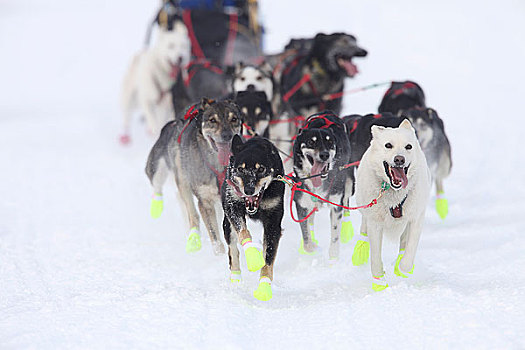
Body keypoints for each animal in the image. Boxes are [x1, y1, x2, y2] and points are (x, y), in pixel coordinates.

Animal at [143, 98, 242, 254]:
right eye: (213, 120)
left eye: (234, 119)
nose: (227, 135)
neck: (218, 166)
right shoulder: (204, 200)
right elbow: (214, 235)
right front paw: (219, 253)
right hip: (176, 175)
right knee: (190, 212)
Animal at [222, 135, 286, 300]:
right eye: (240, 169)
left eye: (261, 169)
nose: (249, 190)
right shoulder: (233, 206)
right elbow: (243, 233)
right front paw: (253, 257)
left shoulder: (273, 224)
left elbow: (268, 259)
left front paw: (264, 287)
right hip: (227, 224)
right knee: (233, 249)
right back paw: (236, 277)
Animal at [290, 110, 352, 262]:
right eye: (311, 142)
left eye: (330, 142)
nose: (325, 154)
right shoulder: (301, 204)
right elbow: (306, 235)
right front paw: (311, 247)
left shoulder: (336, 204)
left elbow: (335, 234)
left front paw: (333, 257)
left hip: (348, 183)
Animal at [354, 119, 432, 290]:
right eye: (388, 145)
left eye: (408, 146)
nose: (399, 159)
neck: (394, 196)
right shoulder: (375, 223)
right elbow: (375, 258)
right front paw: (379, 282)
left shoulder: (416, 218)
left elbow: (409, 253)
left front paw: (402, 269)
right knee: (363, 228)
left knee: (404, 241)